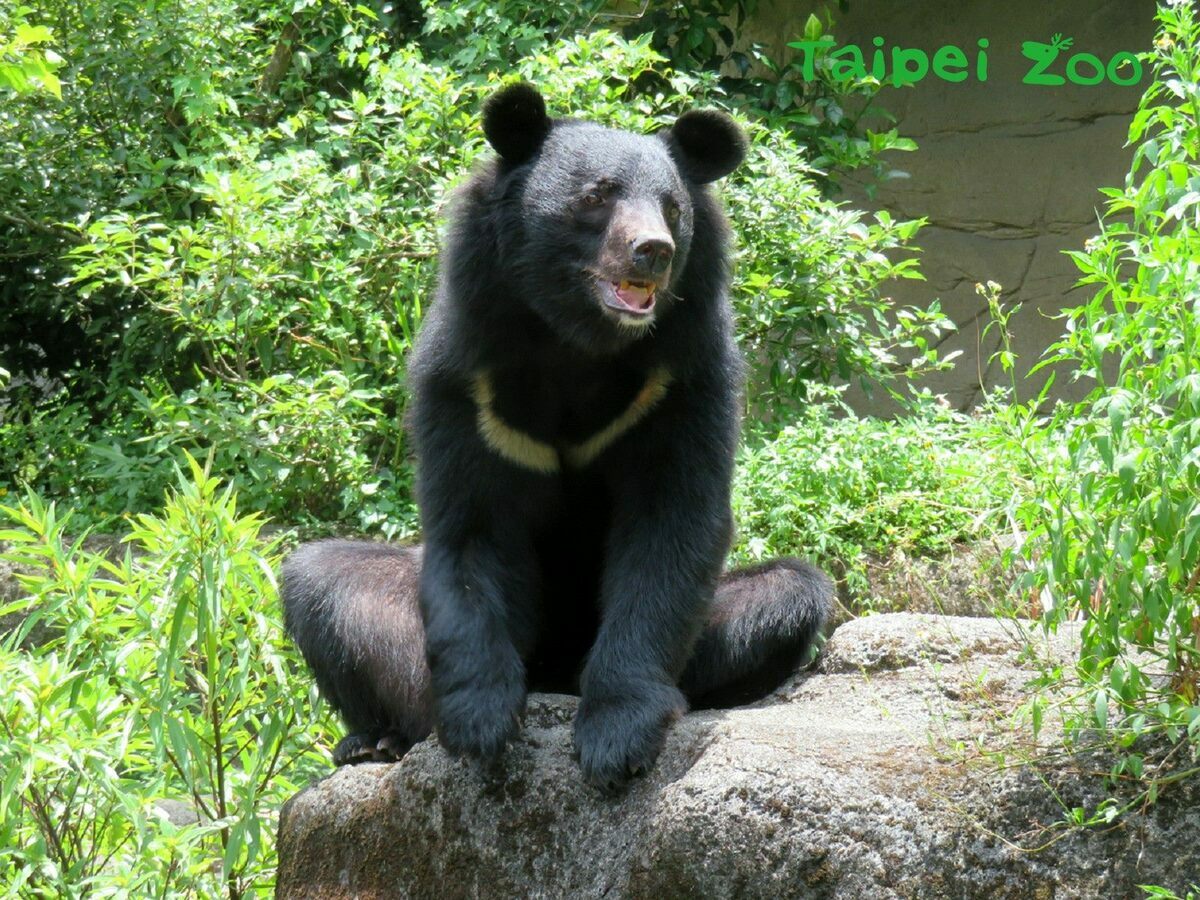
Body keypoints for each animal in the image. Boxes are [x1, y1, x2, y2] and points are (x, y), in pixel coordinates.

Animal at [281, 83, 833, 790]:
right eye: (597, 195)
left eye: (672, 207)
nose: (653, 250)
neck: (577, 340)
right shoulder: (469, 382)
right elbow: (472, 525)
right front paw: (481, 723)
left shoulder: (680, 380)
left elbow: (672, 524)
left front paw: (617, 739)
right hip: (400, 631)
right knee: (322, 582)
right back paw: (375, 740)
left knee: (787, 592)